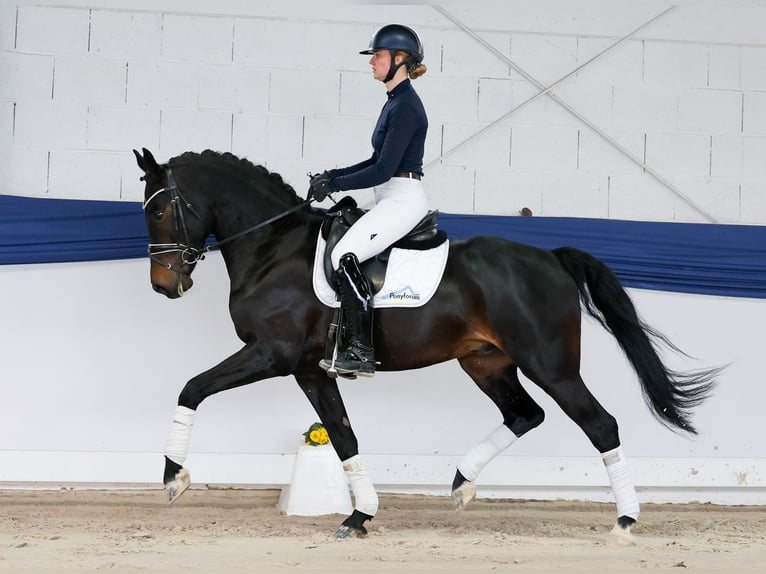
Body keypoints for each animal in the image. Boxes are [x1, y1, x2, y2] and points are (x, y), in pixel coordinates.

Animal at [133, 147, 719, 540]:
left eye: (158, 211)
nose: (163, 286)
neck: (272, 248)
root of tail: (549, 257)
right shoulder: (310, 369)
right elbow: (343, 437)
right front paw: (359, 515)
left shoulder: (270, 355)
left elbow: (192, 388)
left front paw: (173, 477)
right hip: (486, 362)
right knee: (525, 414)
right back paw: (461, 483)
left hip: (551, 365)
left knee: (600, 424)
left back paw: (625, 520)